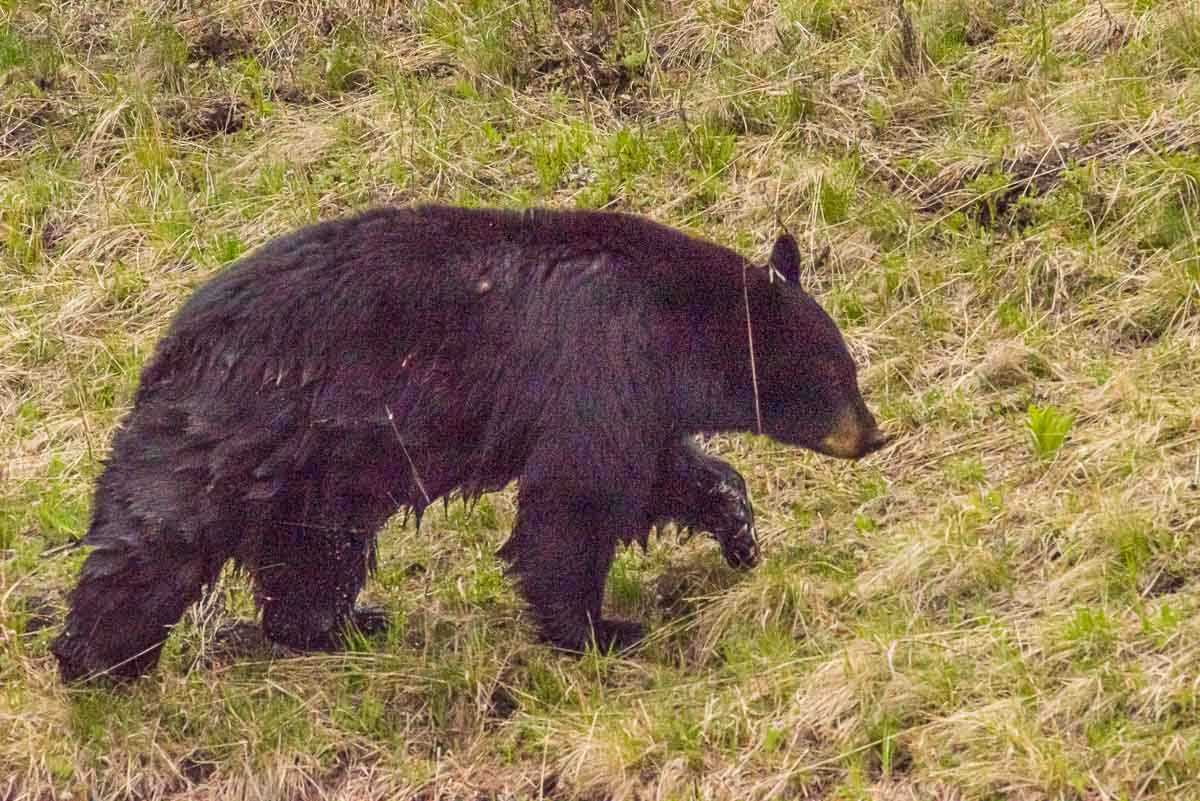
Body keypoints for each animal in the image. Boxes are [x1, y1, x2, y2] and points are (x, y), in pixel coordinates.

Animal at [51, 205, 888, 681]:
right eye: (837, 370)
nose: (873, 434)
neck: (671, 315)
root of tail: (167, 343)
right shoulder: (598, 357)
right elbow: (576, 499)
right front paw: (603, 629)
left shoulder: (636, 396)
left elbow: (660, 471)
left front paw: (738, 527)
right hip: (237, 426)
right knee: (158, 536)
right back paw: (95, 662)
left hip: (323, 469)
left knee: (312, 549)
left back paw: (341, 625)